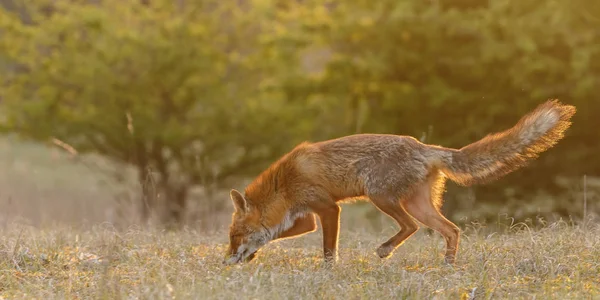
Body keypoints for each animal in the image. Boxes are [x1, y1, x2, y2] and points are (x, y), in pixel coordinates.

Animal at [224, 100, 576, 264]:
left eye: (235, 236)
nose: (226, 261)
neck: (284, 183)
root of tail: (424, 146)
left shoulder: (328, 209)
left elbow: (328, 251)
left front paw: (328, 272)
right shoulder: (307, 216)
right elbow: (278, 234)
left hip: (381, 196)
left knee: (411, 227)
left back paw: (386, 251)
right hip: (418, 204)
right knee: (451, 230)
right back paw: (448, 266)